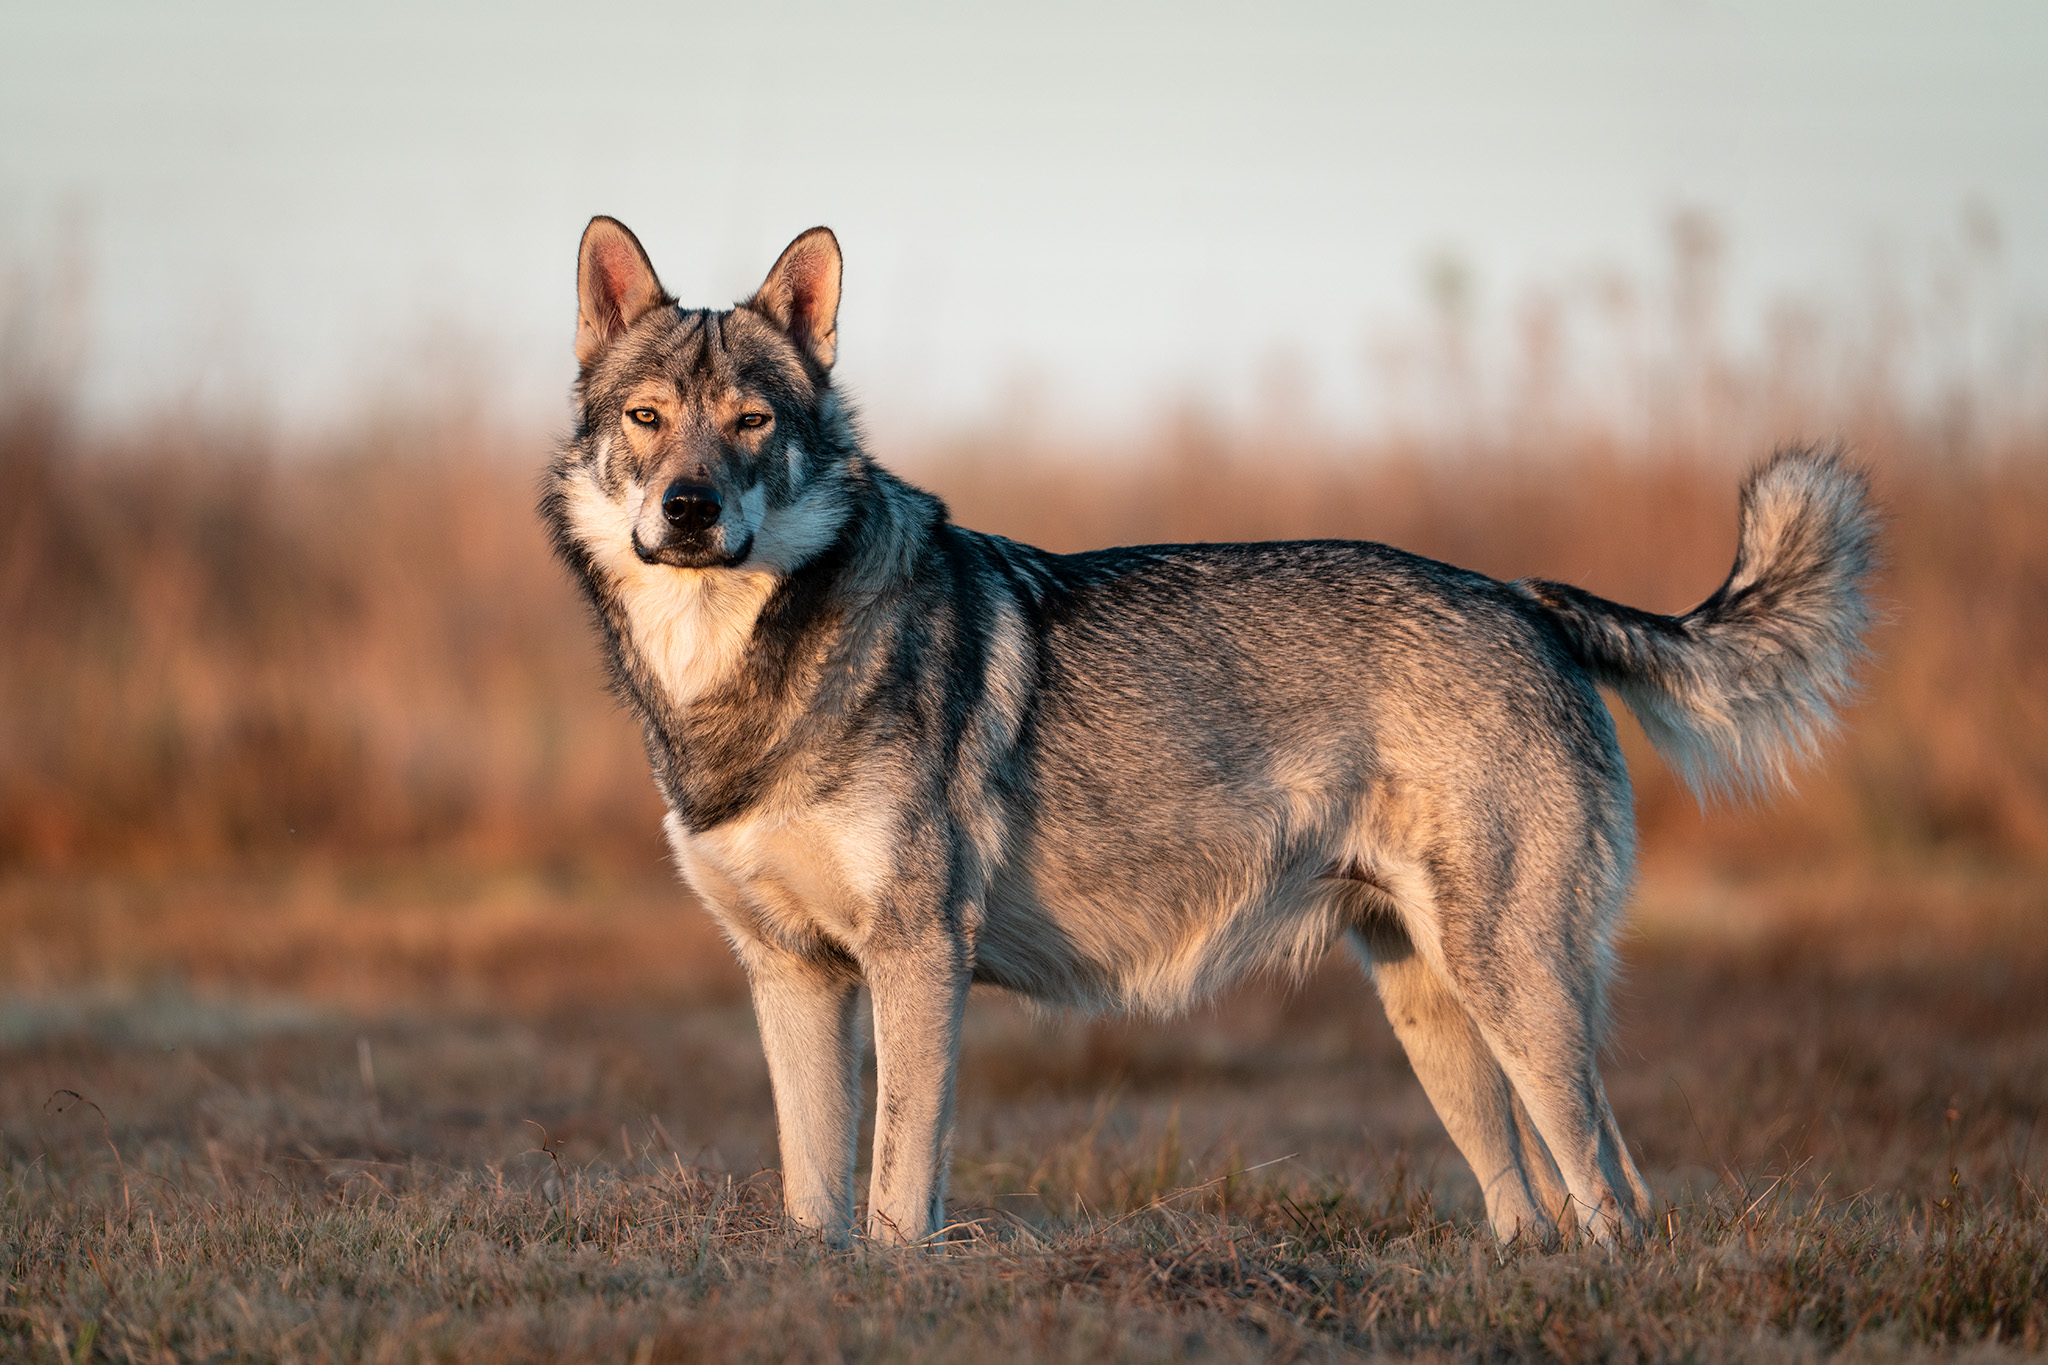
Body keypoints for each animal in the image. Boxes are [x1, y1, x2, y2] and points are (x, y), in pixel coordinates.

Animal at [540, 217, 1877, 1247]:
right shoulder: (791, 973)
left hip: (1517, 997)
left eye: (752, 422)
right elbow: (811, 1199)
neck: (738, 680)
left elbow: (893, 1197)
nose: (690, 508)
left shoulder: (918, 959)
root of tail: (1521, 597)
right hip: (1439, 1017)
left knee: (1613, 1200)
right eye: (648, 418)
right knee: (1541, 1210)